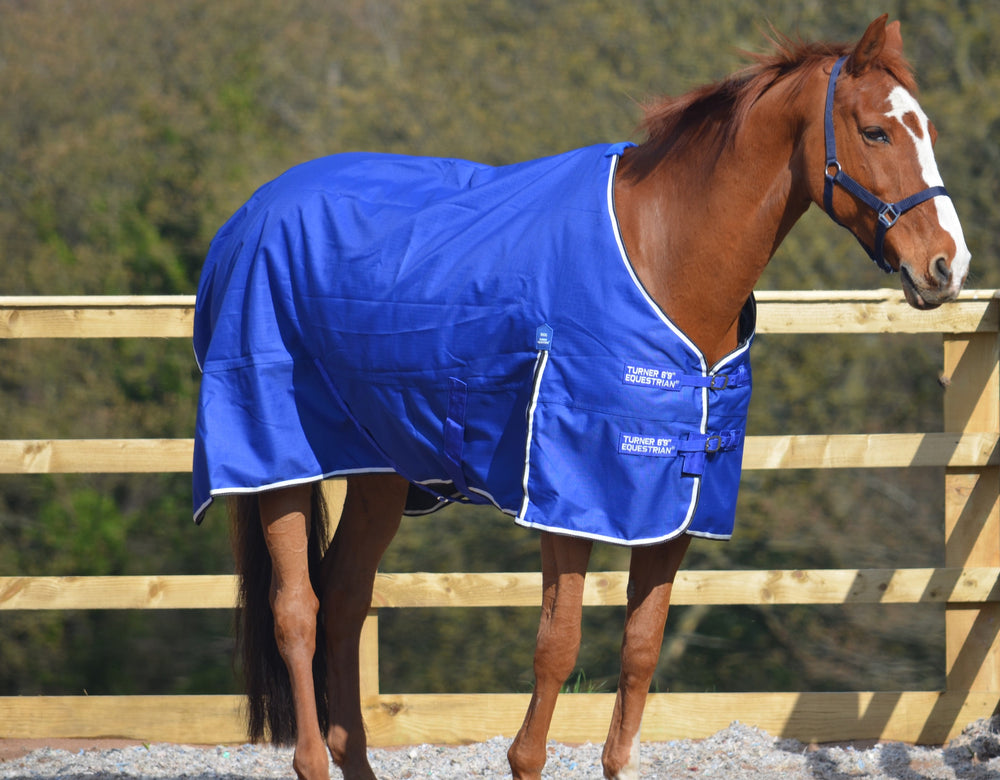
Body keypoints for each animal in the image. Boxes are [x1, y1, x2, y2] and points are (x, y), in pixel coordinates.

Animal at [192, 15, 970, 780]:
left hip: (380, 470)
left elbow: (641, 650)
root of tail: (247, 218)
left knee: (346, 600)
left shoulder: (673, 510)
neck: (665, 257)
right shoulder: (568, 502)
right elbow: (557, 648)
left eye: (929, 129)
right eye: (875, 131)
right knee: (298, 610)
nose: (947, 265)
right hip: (277, 463)